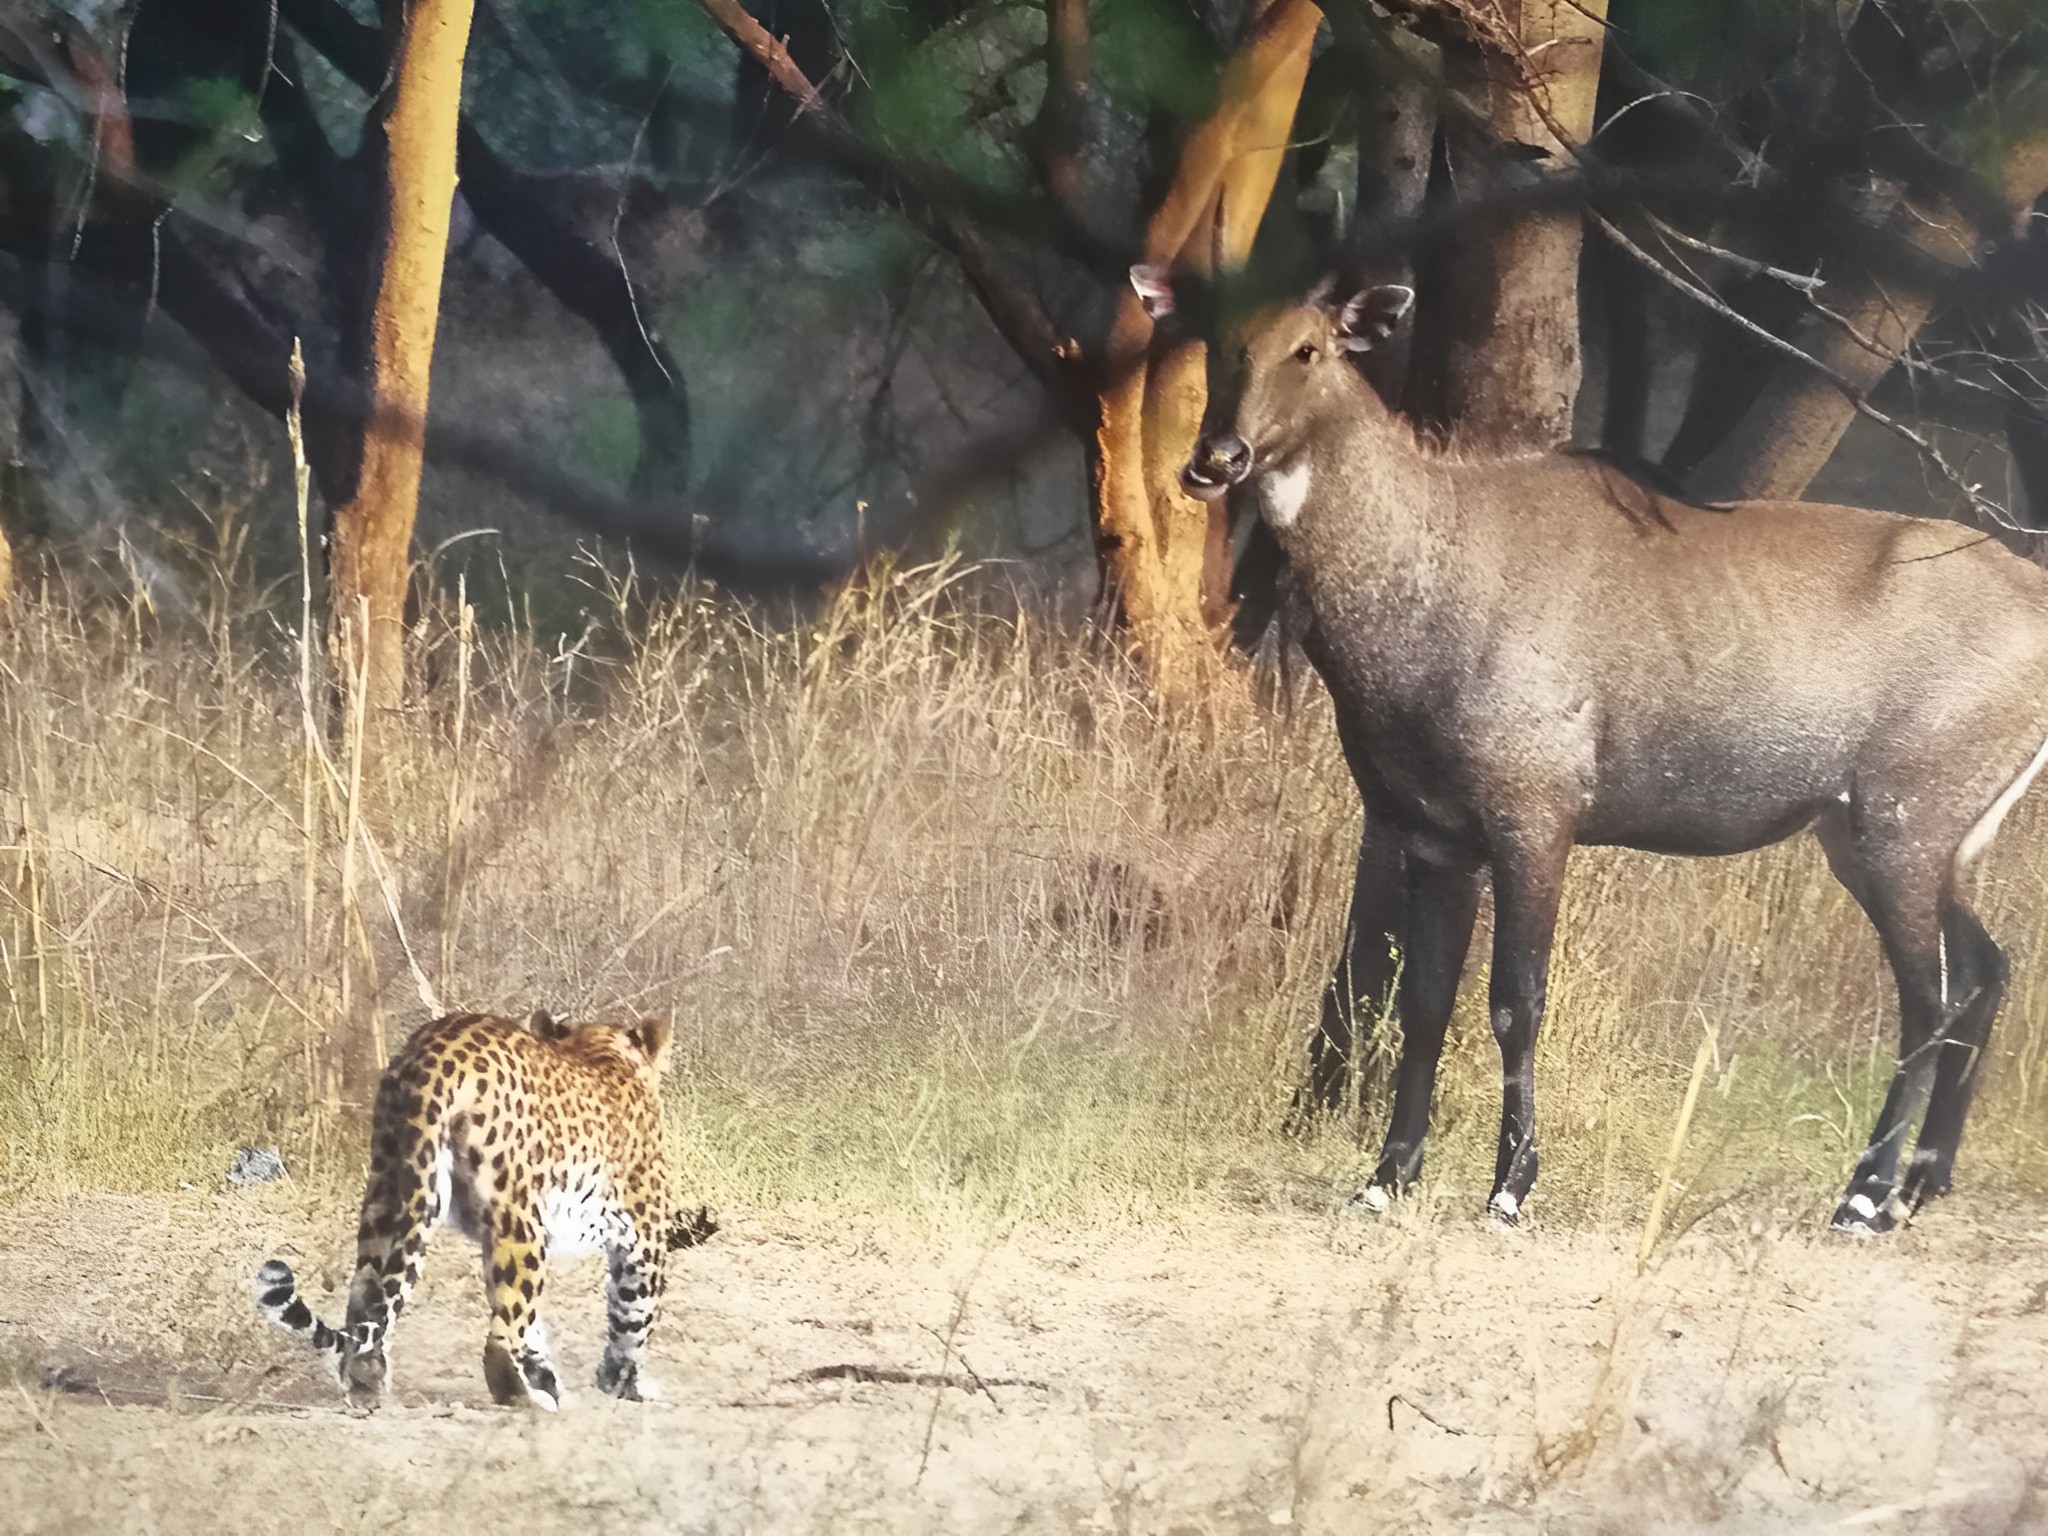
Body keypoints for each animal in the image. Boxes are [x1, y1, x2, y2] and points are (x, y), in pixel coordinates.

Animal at [253, 1009, 715, 1411]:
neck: (604, 1051)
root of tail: (434, 1057)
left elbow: (534, 1326)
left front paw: (552, 1372)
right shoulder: (643, 1232)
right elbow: (633, 1313)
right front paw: (624, 1383)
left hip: (394, 1192)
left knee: (368, 1302)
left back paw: (368, 1383)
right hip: (519, 1220)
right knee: (500, 1332)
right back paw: (524, 1398)